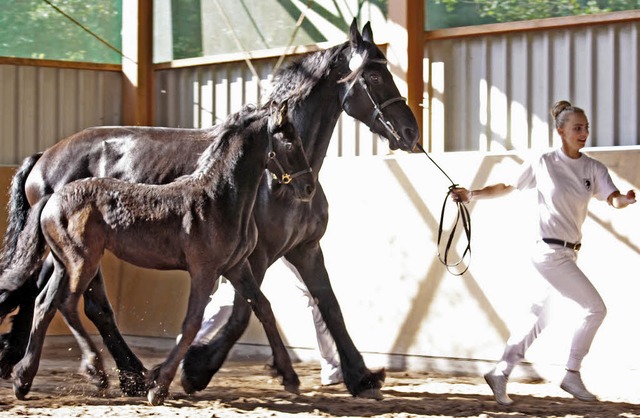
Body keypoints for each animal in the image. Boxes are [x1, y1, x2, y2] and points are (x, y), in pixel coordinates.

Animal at [6, 103, 314, 404]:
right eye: (290, 141)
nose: (309, 187)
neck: (219, 199)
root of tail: (52, 196)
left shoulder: (236, 267)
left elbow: (263, 308)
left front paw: (289, 377)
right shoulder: (205, 270)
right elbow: (192, 323)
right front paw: (159, 385)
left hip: (63, 263)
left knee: (45, 303)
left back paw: (23, 379)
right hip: (83, 261)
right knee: (68, 303)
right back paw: (97, 373)